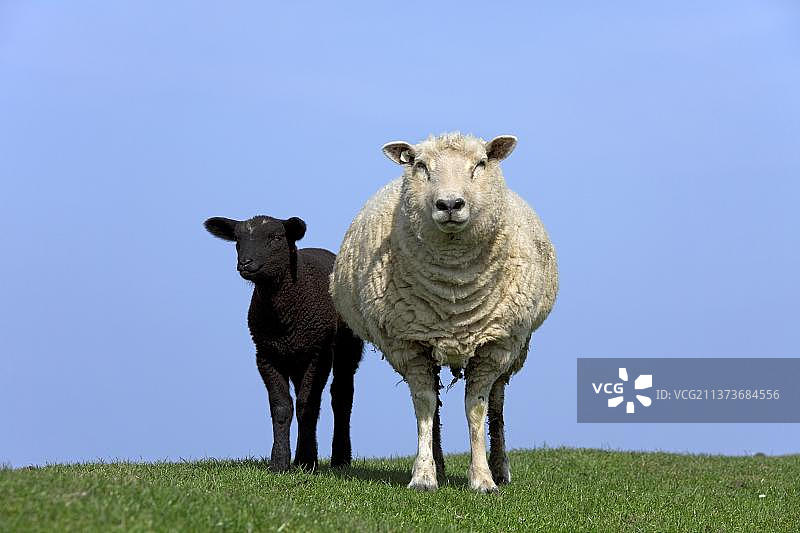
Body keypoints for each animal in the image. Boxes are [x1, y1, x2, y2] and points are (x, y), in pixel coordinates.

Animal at [205, 215, 363, 472]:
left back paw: (340, 459)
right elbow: (281, 406)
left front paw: (306, 461)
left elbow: (307, 406)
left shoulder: (318, 354)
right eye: (237, 239)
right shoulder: (266, 355)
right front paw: (280, 462)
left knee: (341, 396)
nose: (245, 263)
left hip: (346, 347)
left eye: (276, 237)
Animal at [330, 133, 558, 493]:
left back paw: (500, 467)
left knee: (498, 403)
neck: (454, 291)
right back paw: (438, 462)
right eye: (421, 166)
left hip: (515, 347)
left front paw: (482, 479)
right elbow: (424, 404)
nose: (450, 204)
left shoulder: (495, 345)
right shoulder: (408, 344)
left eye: (480, 164)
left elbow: (476, 409)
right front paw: (424, 475)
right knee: (435, 403)